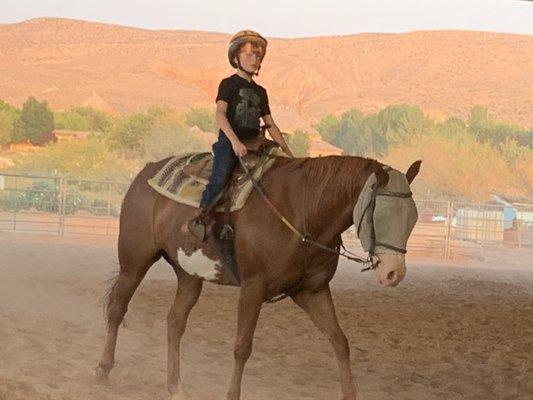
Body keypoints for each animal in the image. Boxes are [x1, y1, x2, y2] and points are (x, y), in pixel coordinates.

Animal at [94, 154, 420, 400]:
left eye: (413, 217)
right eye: (381, 212)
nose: (394, 273)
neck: (303, 212)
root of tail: (145, 173)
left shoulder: (311, 291)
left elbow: (340, 341)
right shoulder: (253, 287)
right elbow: (242, 347)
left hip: (188, 276)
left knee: (175, 322)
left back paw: (175, 386)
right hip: (135, 261)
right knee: (118, 307)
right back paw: (103, 370)